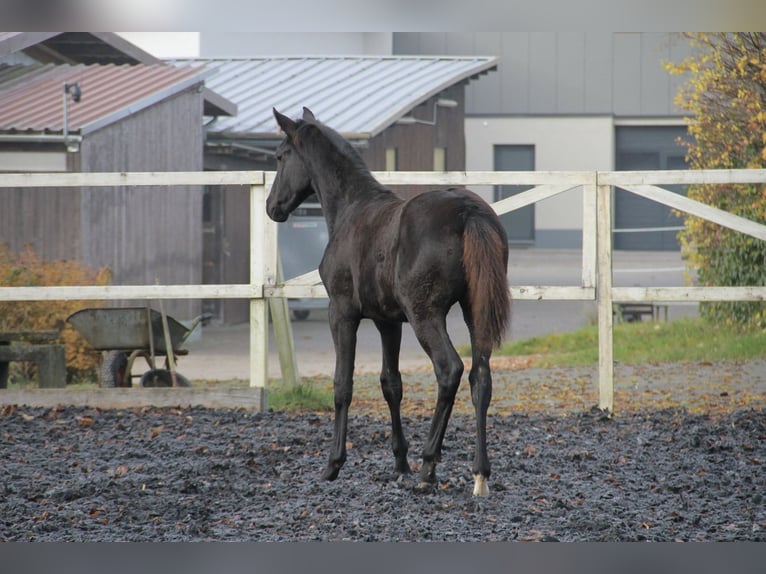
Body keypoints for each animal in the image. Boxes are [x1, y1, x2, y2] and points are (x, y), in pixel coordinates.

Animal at [267, 107, 511, 496]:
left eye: (280, 156)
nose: (272, 207)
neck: (352, 209)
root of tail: (469, 211)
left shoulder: (342, 312)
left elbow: (343, 384)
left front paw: (333, 464)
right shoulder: (388, 320)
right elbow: (391, 383)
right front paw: (399, 463)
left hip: (426, 315)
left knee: (449, 370)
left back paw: (429, 467)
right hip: (475, 311)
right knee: (480, 378)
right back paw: (479, 474)